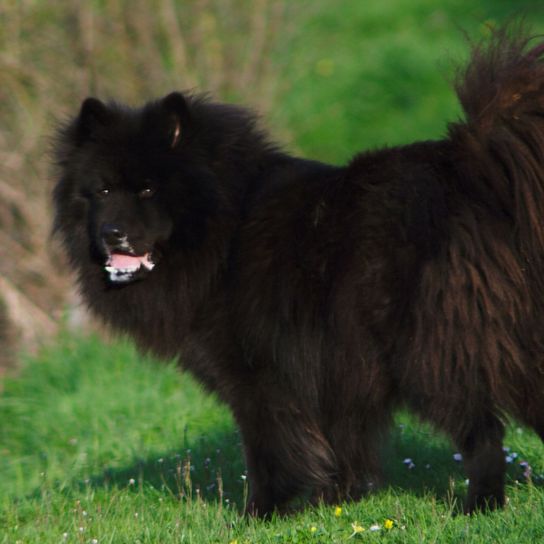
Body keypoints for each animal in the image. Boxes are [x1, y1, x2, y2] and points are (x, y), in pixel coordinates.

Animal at [53, 28, 544, 516]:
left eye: (148, 190)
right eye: (102, 190)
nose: (112, 233)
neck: (226, 229)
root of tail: (469, 168)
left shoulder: (260, 374)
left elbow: (270, 449)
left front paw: (260, 514)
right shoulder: (333, 361)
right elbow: (342, 441)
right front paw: (338, 501)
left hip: (429, 351)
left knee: (481, 432)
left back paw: (480, 505)